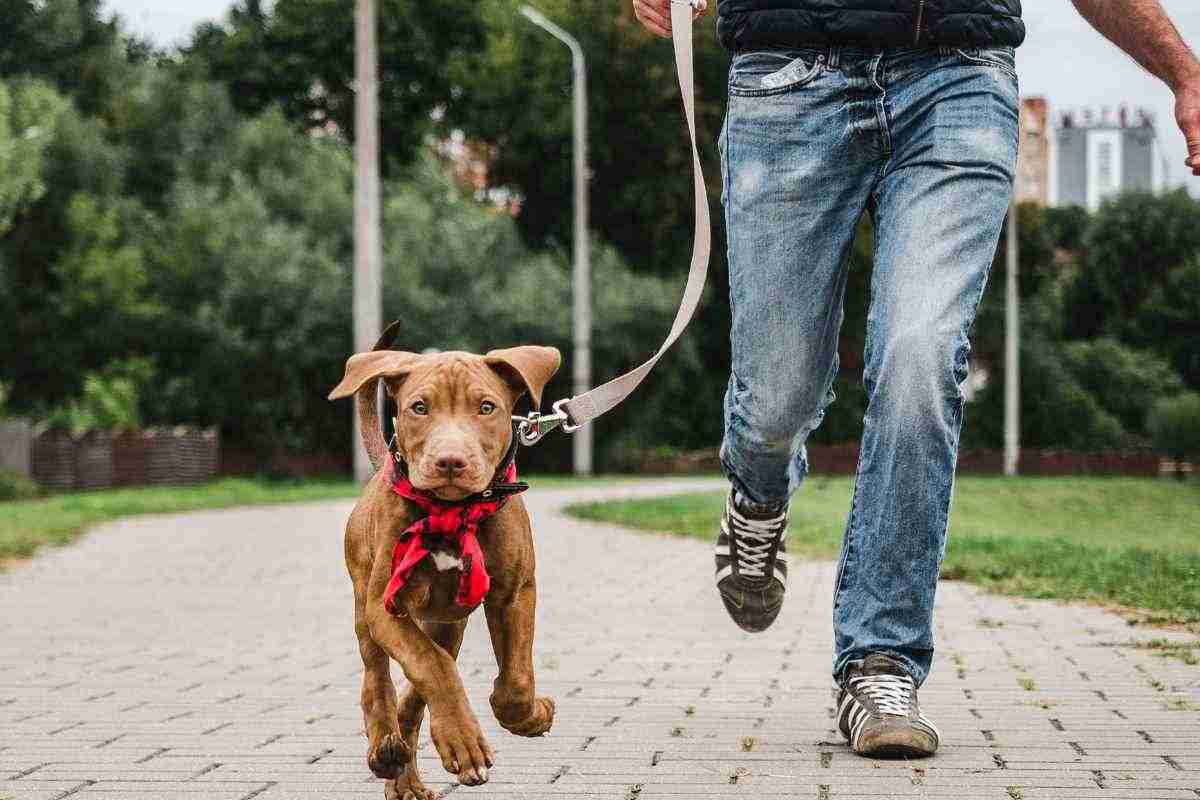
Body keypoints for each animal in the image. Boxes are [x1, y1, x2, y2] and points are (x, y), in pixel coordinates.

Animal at [333, 326, 561, 800]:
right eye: (419, 408)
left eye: (487, 407)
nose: (450, 462)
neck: (452, 510)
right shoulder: (386, 607)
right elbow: (431, 667)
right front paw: (464, 740)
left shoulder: (515, 593)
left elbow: (515, 679)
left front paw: (531, 716)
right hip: (365, 604)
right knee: (378, 677)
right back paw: (385, 743)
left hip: (447, 621)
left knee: (420, 688)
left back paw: (403, 772)